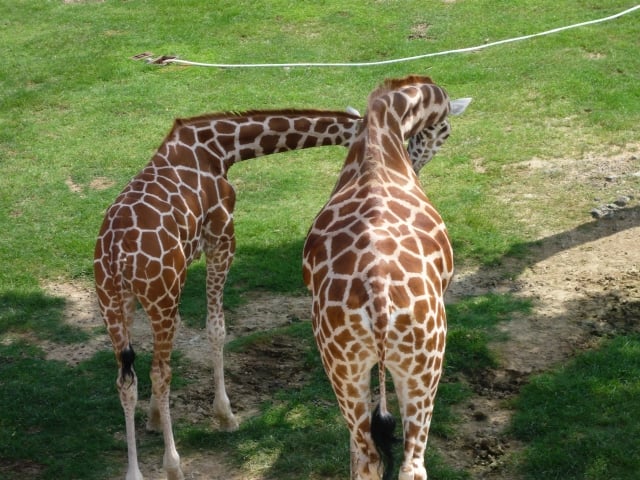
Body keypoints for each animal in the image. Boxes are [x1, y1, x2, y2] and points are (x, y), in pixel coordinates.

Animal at [92, 107, 362, 478]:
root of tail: (116, 257)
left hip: (113, 302)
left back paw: (134, 472)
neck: (220, 148)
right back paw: (173, 464)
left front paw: (154, 419)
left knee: (126, 379)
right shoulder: (222, 237)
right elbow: (216, 329)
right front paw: (225, 415)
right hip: (160, 296)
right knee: (160, 374)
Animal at [300, 76, 470, 480]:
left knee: (366, 456)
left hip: (344, 367)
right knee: (411, 463)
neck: (381, 132)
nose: (418, 162)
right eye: (446, 130)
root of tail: (378, 303)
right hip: (424, 365)